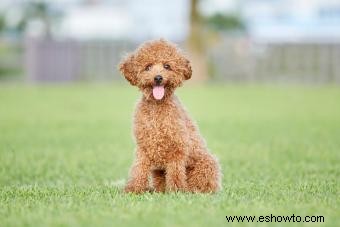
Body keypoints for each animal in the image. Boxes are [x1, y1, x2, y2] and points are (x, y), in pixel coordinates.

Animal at [118, 39, 222, 193]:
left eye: (167, 66)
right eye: (148, 66)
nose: (158, 78)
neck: (157, 106)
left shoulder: (177, 148)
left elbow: (175, 172)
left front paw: (176, 191)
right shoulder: (143, 147)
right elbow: (139, 169)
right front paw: (134, 189)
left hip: (205, 166)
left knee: (200, 184)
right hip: (158, 172)